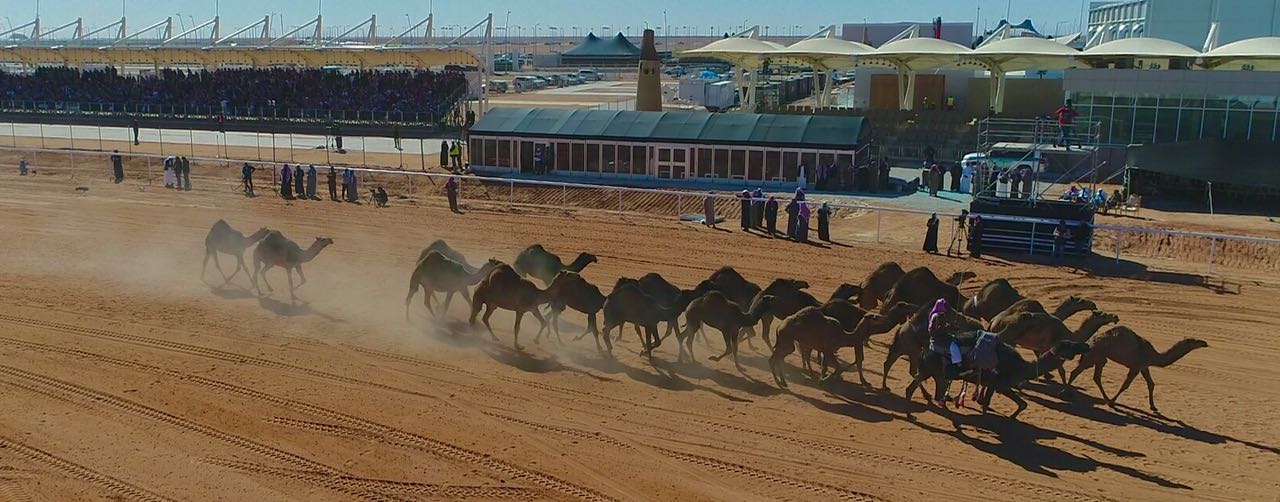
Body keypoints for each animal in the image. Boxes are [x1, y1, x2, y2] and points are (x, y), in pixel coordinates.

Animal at [901, 335, 1090, 422]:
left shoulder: (995, 385)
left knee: (923, 390)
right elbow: (1018, 404)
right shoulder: (1000, 384)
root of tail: (924, 351)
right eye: (1070, 345)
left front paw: (1009, 418)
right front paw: (1007, 419)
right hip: (931, 370)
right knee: (918, 389)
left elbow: (994, 403)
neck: (1021, 367)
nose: (1086, 345)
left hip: (934, 372)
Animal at [1070, 325, 1208, 412]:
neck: (1153, 355)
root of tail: (1089, 342)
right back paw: (1068, 391)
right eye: (1194, 341)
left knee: (1096, 377)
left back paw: (1104, 397)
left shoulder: (1144, 366)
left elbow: (1151, 383)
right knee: (1076, 372)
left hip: (1100, 358)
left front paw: (1153, 407)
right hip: (1094, 355)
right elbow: (1125, 385)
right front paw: (1112, 402)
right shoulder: (1136, 366)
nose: (1205, 343)